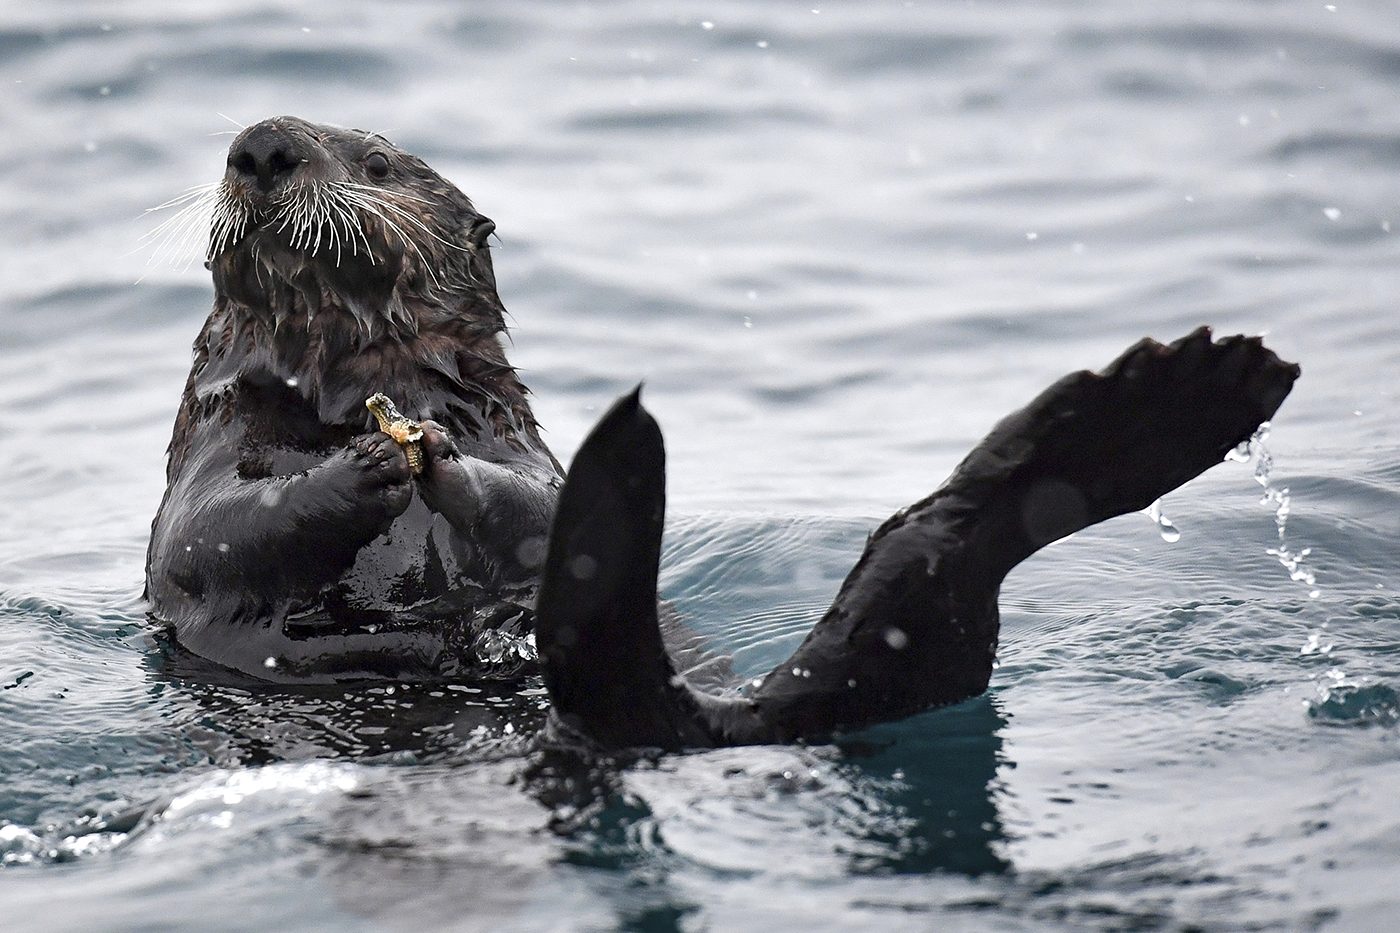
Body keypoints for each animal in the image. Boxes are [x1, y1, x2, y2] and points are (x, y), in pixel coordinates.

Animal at [147, 116, 1299, 749]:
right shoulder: (207, 454)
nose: (263, 145)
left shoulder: (522, 444)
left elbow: (533, 503)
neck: (357, 381)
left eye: (379, 165)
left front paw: (442, 464)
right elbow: (208, 538)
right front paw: (360, 469)